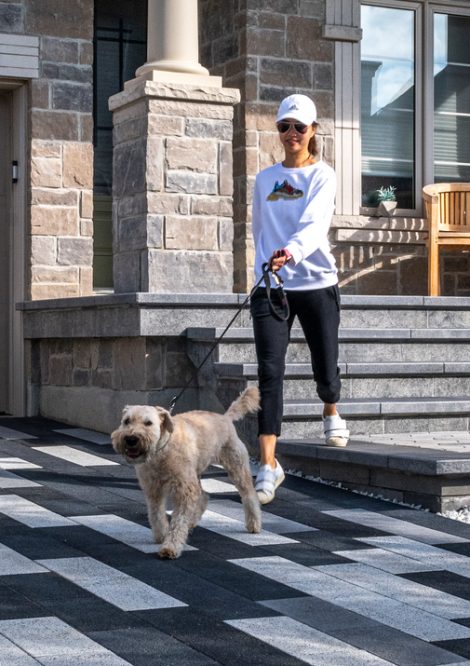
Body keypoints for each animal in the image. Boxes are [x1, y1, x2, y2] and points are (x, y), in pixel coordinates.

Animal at [112, 386, 262, 556]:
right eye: (126, 421)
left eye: (148, 423)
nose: (131, 439)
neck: (161, 451)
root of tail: (226, 417)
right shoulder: (153, 490)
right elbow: (156, 515)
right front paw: (161, 536)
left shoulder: (184, 490)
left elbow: (178, 521)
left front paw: (170, 547)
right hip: (195, 473)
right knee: (203, 496)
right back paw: (192, 522)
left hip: (236, 467)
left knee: (249, 495)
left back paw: (254, 524)